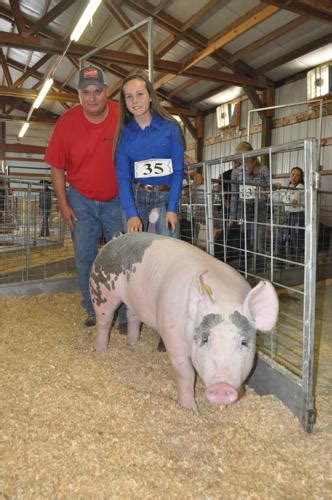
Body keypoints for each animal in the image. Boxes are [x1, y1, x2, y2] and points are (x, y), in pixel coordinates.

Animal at [89, 232, 278, 412]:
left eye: (244, 342)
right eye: (205, 339)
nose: (222, 387)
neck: (225, 298)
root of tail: (116, 238)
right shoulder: (172, 335)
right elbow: (185, 373)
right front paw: (190, 410)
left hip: (135, 301)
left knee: (132, 316)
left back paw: (133, 343)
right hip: (100, 288)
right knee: (104, 321)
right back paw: (100, 350)